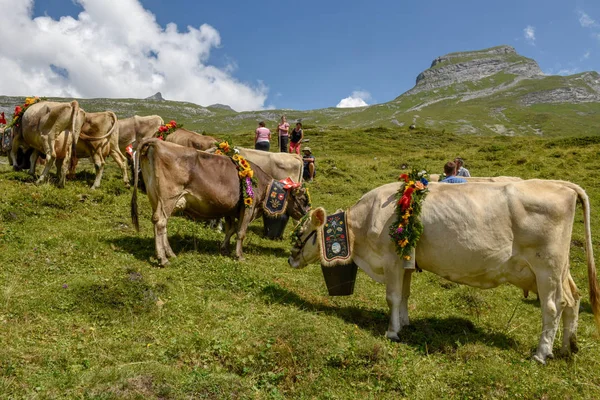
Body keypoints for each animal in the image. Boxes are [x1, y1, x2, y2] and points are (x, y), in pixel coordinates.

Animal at [130, 138, 310, 266]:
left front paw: (224, 249)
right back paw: (163, 258)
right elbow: (241, 232)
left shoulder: (231, 209)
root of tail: (157, 142)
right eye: (302, 199)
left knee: (160, 223)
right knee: (161, 223)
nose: (308, 214)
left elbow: (230, 229)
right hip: (169, 197)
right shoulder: (248, 207)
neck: (262, 184)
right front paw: (239, 255)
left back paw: (169, 253)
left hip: (156, 197)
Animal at [288, 180, 596, 364]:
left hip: (547, 267)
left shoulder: (391, 259)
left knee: (553, 306)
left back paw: (542, 353)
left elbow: (392, 297)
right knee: (574, 299)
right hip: (561, 269)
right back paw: (568, 346)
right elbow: (405, 295)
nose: (291, 259)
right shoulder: (406, 260)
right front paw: (405, 323)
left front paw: (392, 332)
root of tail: (562, 185)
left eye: (302, 233)